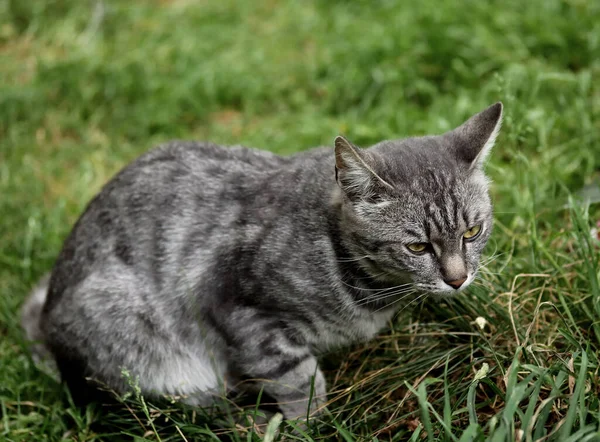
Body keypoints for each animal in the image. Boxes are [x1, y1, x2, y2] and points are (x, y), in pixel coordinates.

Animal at [21, 102, 504, 422]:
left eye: (472, 232)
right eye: (417, 247)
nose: (458, 279)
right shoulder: (238, 310)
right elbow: (298, 380)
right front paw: (312, 422)